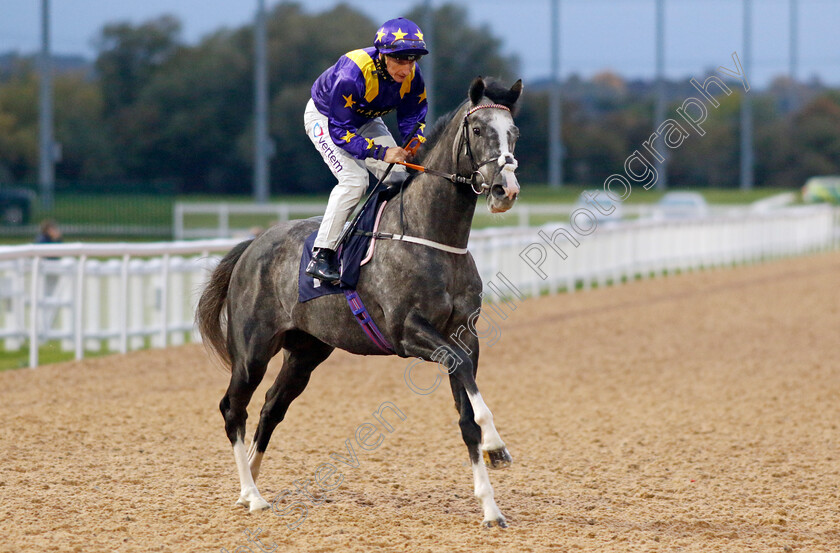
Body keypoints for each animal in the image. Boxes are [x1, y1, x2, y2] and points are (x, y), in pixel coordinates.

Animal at [198, 76, 520, 528]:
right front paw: (496, 445)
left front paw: (491, 506)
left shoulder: (463, 335)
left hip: (307, 352)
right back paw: (252, 494)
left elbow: (466, 414)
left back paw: (252, 484)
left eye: (514, 132)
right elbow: (468, 394)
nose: (505, 189)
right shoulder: (408, 333)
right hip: (252, 350)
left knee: (271, 407)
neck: (430, 235)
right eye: (477, 130)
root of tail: (252, 245)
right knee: (233, 407)